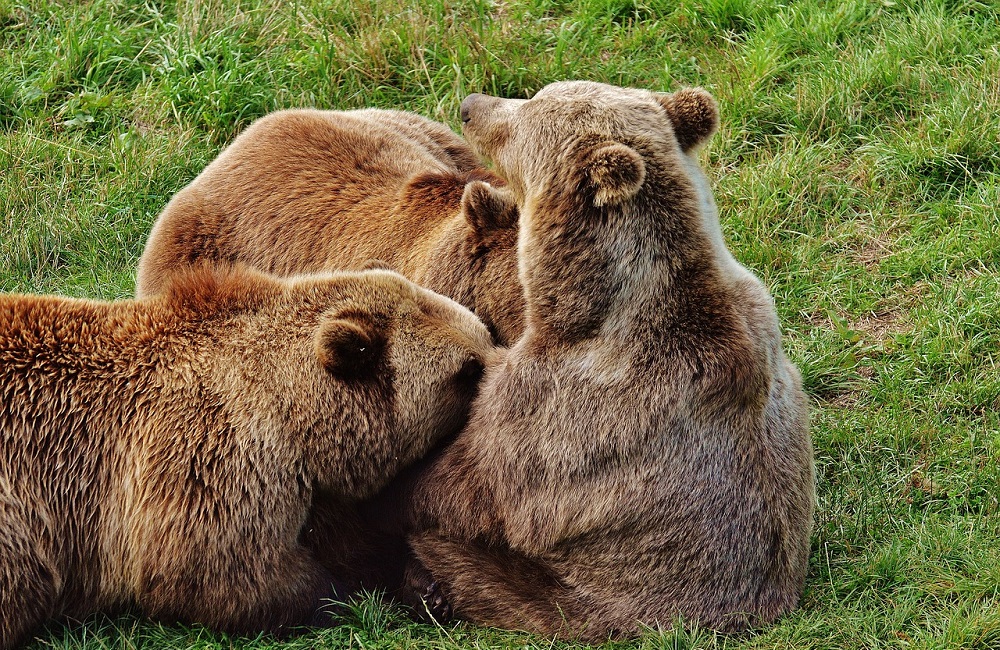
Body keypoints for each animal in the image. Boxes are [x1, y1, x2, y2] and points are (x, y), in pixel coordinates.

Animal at [0, 262, 494, 648]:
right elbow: (217, 570)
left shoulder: (312, 485)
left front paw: (426, 586)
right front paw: (340, 595)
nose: (498, 362)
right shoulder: (210, 454)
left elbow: (350, 540)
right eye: (467, 369)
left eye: (483, 333)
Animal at [402, 81, 816, 636]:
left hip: (576, 599)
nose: (470, 106)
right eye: (534, 96)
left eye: (525, 114)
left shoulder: (558, 414)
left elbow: (468, 485)